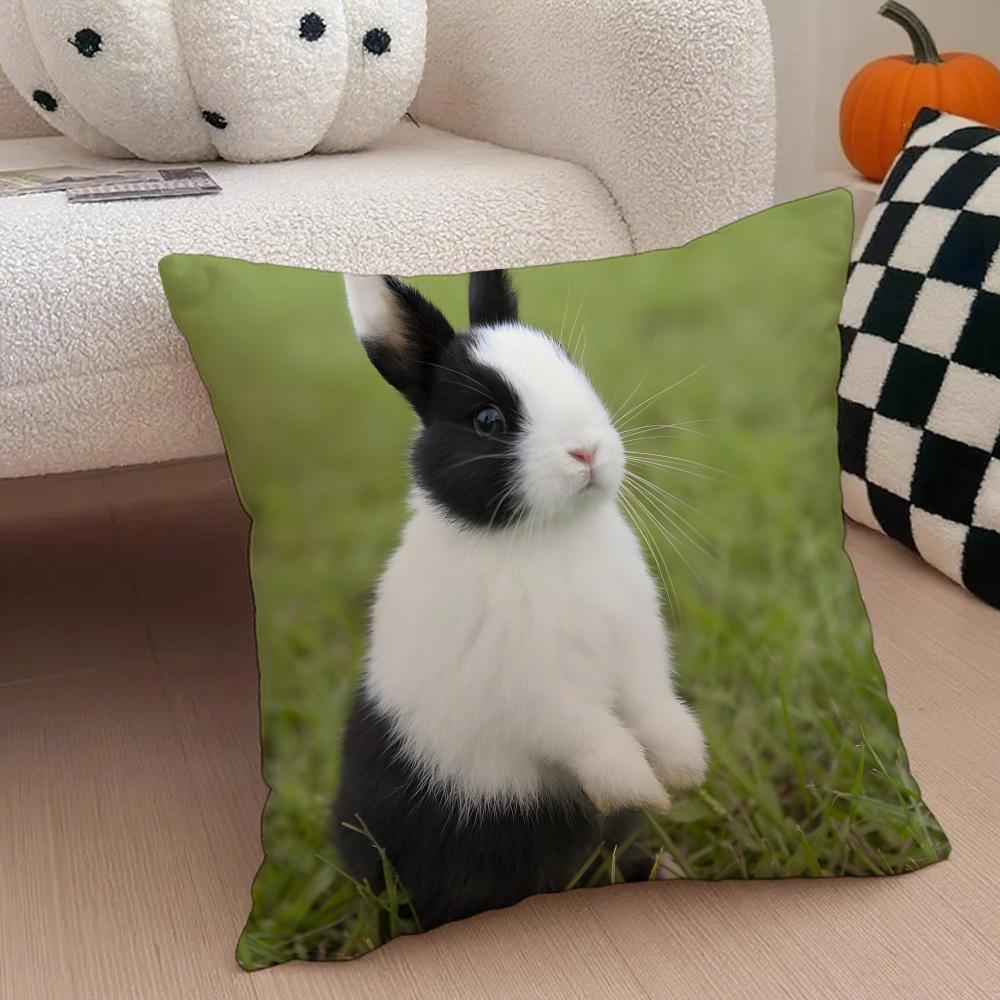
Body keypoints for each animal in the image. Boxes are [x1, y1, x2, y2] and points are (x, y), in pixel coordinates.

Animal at [333, 271, 708, 930]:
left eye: (575, 373)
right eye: (487, 421)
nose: (587, 451)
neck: (549, 536)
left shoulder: (637, 652)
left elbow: (655, 708)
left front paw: (686, 767)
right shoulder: (535, 693)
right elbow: (591, 736)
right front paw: (641, 788)